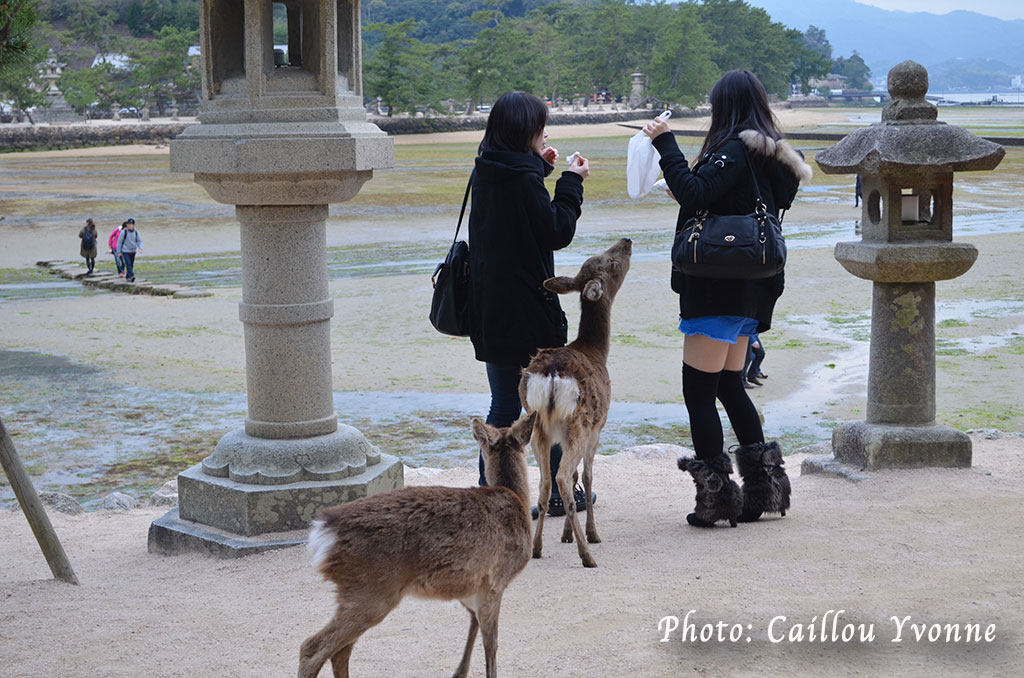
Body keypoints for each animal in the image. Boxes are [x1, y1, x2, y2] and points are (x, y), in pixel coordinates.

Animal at [296, 413, 536, 678]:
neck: (518, 501)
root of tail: (323, 531)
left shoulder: (471, 587)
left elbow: (473, 623)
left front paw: (459, 672)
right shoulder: (496, 580)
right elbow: (491, 644)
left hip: (355, 593)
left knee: (340, 650)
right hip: (372, 591)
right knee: (313, 647)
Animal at [520, 238, 630, 569]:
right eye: (611, 263)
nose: (627, 241)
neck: (596, 349)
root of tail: (553, 375)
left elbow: (570, 476)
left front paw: (566, 534)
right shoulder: (599, 427)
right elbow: (588, 475)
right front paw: (591, 533)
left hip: (536, 427)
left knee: (545, 481)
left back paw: (537, 547)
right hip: (578, 424)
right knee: (560, 476)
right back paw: (587, 554)